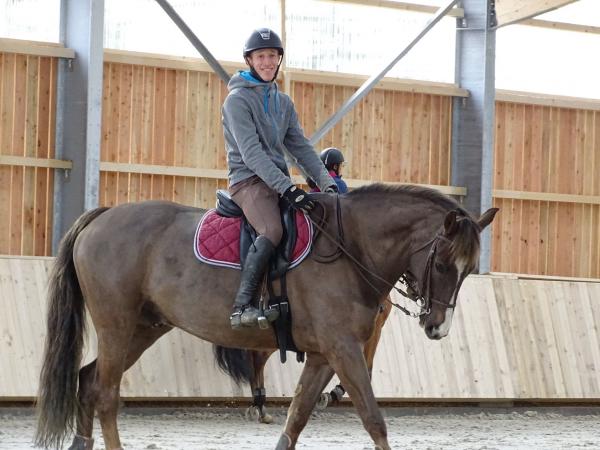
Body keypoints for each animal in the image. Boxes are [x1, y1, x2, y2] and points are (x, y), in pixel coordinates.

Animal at [35, 184, 500, 450]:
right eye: (442, 264)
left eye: (468, 270)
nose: (437, 327)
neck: (350, 247)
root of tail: (104, 215)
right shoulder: (344, 350)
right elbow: (374, 419)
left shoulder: (323, 355)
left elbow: (298, 417)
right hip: (117, 326)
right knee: (105, 394)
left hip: (144, 329)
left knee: (89, 382)